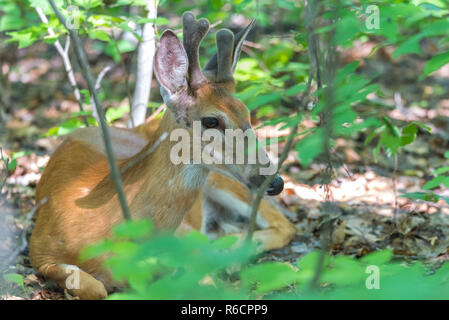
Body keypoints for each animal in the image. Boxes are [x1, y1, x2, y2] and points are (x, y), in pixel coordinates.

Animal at [29, 11, 292, 298]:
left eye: (247, 114)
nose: (276, 181)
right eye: (211, 120)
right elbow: (94, 286)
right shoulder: (39, 249)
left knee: (286, 225)